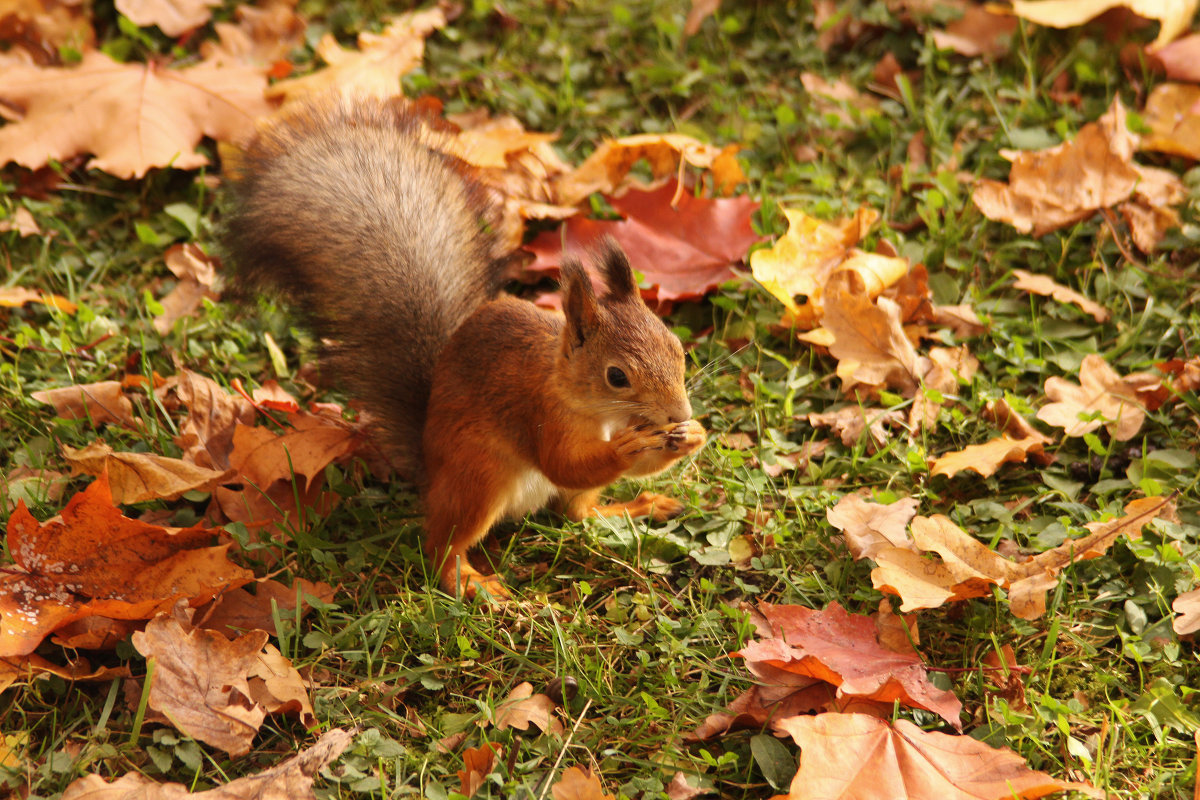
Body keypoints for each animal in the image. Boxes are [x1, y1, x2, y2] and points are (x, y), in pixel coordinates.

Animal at [222, 94, 705, 597]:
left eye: (678, 349)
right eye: (617, 376)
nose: (681, 413)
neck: (595, 408)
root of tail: (430, 471)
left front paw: (694, 436)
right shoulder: (540, 416)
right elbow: (563, 464)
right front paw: (625, 450)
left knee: (577, 512)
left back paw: (636, 507)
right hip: (478, 475)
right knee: (442, 547)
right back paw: (475, 585)